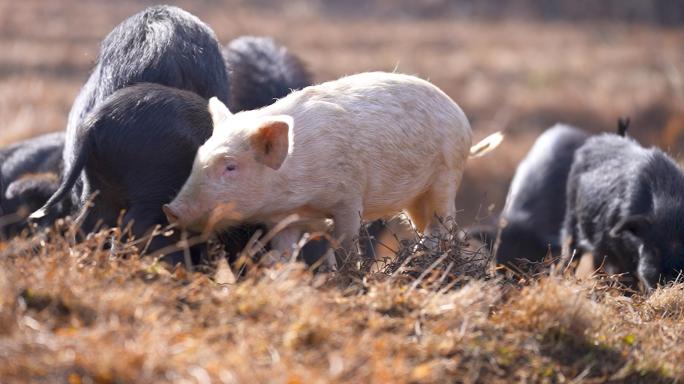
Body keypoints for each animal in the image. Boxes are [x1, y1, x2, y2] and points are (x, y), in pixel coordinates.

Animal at [164, 72, 502, 268]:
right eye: (198, 157)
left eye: (231, 166)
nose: (171, 209)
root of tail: (461, 117)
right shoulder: (285, 219)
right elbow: (284, 252)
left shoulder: (349, 199)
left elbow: (347, 246)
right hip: (415, 198)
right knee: (426, 225)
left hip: (447, 175)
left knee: (447, 223)